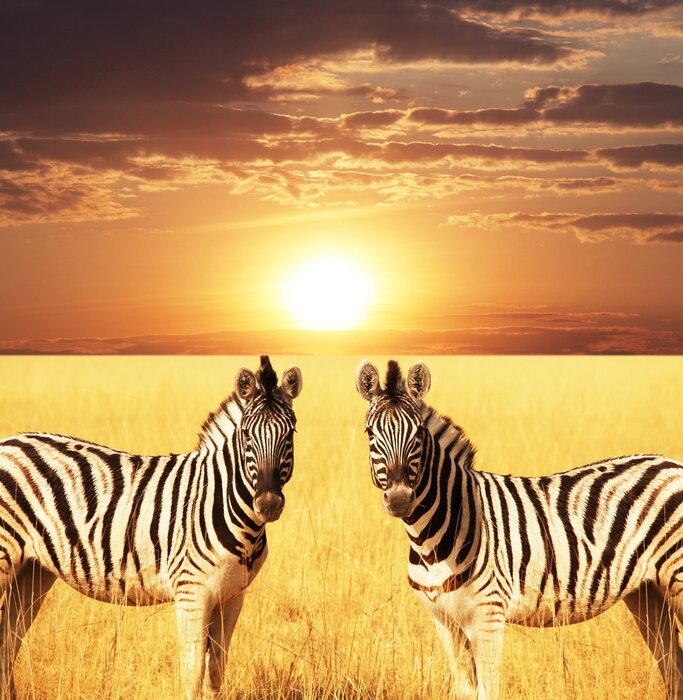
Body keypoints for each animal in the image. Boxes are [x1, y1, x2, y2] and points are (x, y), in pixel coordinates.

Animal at [0, 355, 302, 700]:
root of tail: (9, 441)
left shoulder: (233, 596)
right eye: (247, 436)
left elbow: (215, 674)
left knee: (7, 642)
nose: (268, 504)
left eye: (290, 435)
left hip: (33, 570)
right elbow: (192, 673)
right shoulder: (192, 593)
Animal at [356, 358, 683, 700]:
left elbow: (488, 691)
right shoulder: (444, 622)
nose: (399, 499)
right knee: (673, 667)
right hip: (646, 591)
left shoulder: (488, 616)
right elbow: (464, 691)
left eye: (418, 432)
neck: (431, 541)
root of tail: (672, 464)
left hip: (676, 577)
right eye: (369, 432)